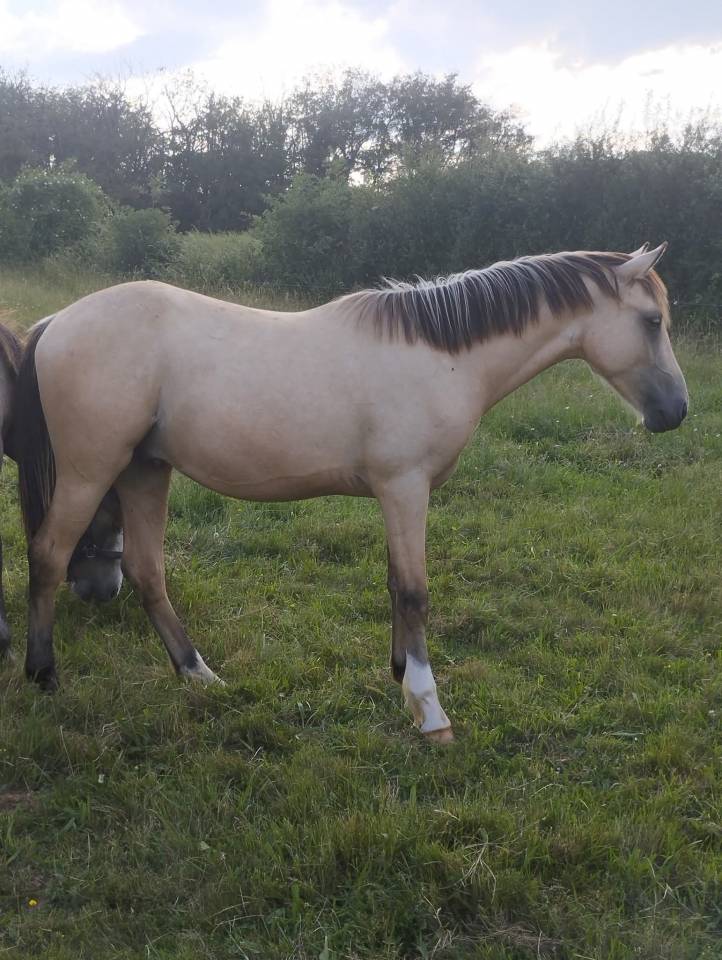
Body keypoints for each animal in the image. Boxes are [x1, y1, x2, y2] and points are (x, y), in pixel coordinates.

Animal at [14, 243, 688, 741]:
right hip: (91, 471)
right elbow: (414, 591)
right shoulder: (406, 488)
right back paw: (42, 675)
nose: (675, 411)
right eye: (651, 321)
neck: (442, 355)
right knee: (47, 556)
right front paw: (429, 710)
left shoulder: (398, 495)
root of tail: (56, 323)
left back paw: (197, 674)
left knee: (147, 571)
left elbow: (394, 584)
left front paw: (399, 674)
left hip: (145, 470)